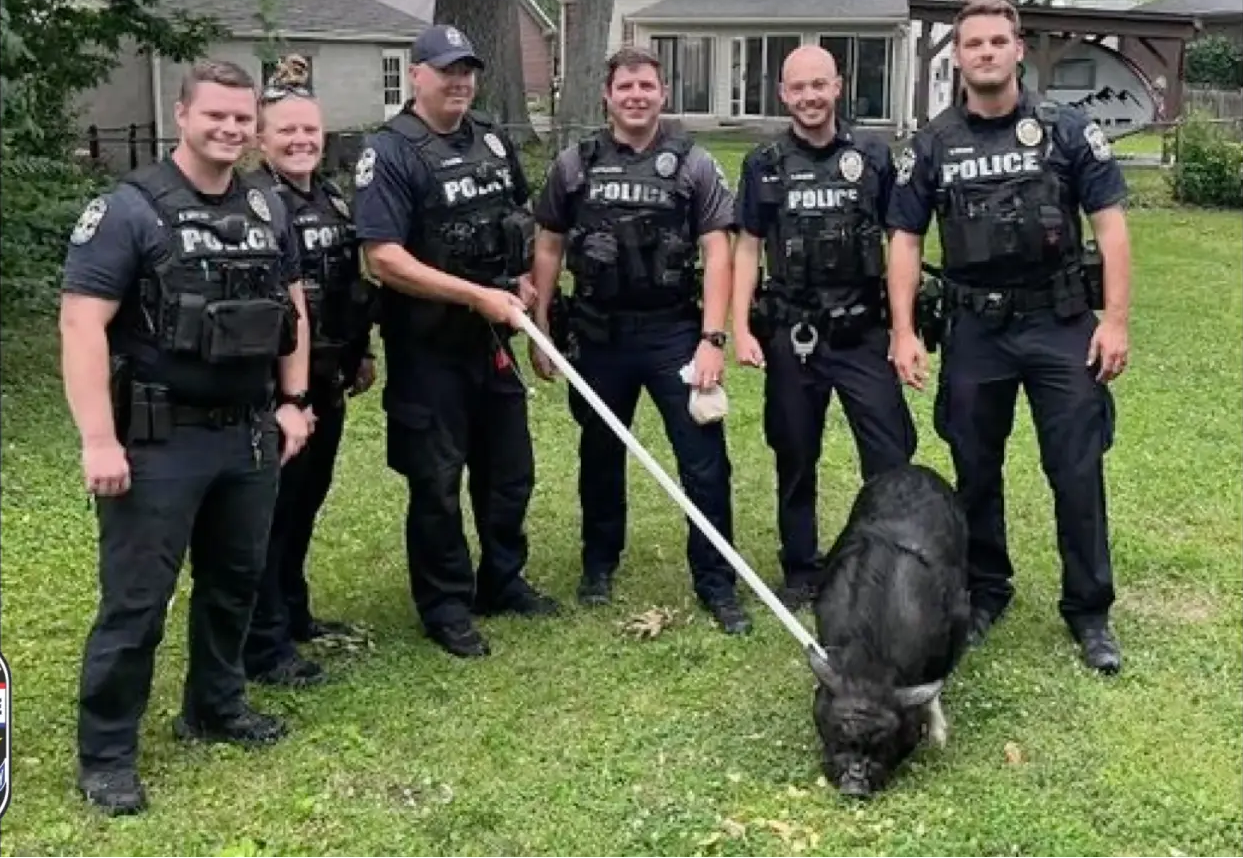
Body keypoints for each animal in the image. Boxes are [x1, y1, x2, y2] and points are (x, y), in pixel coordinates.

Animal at [810, 460, 974, 795]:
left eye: (883, 743)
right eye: (838, 733)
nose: (854, 785)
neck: (873, 662)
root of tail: (915, 468)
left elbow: (934, 688)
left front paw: (938, 741)